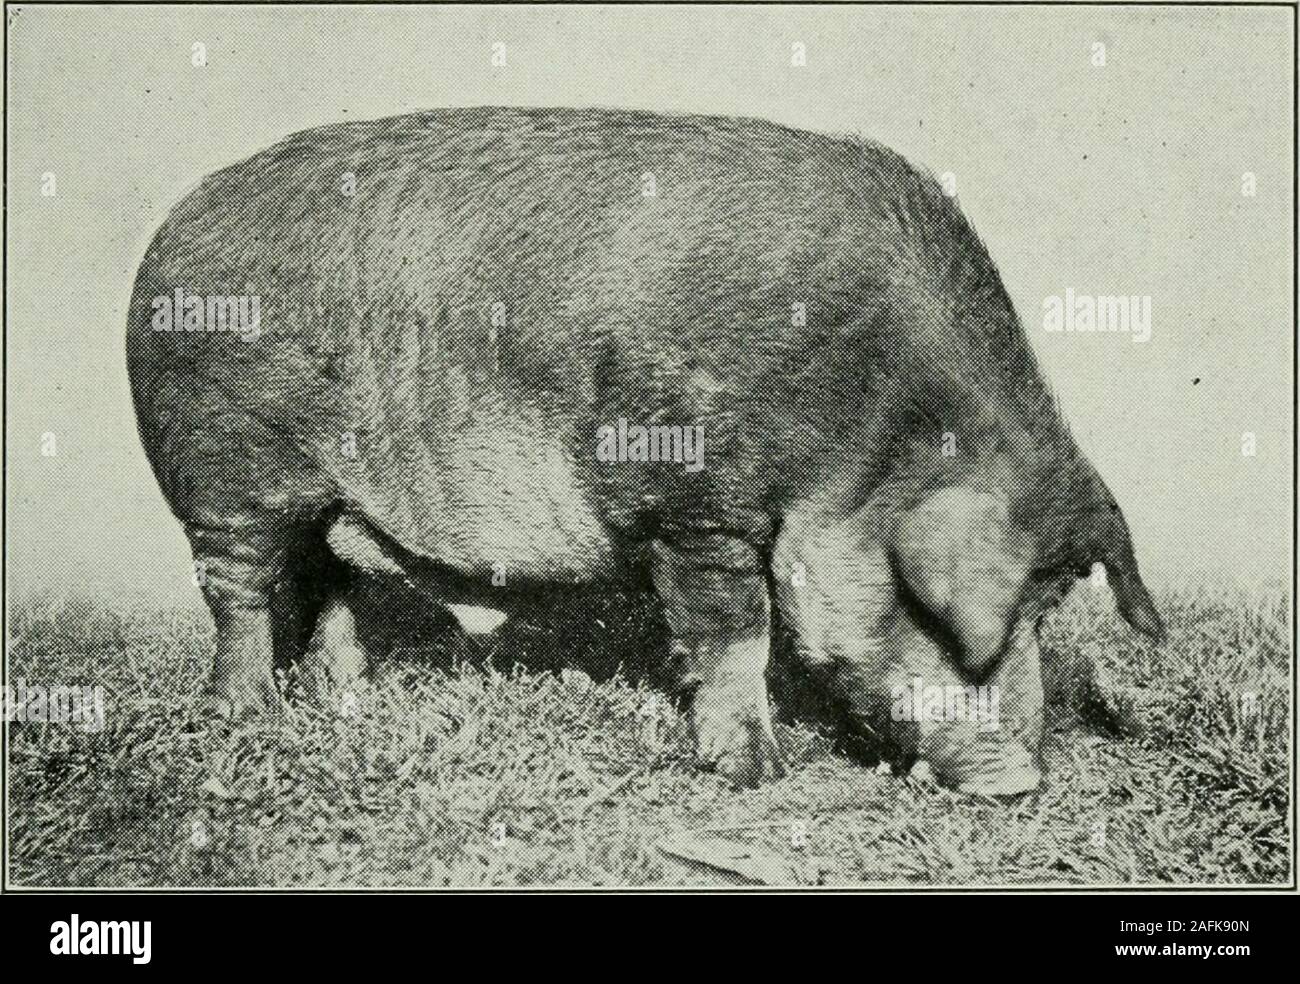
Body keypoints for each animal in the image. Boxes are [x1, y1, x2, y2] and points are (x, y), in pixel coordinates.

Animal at [124, 105, 1159, 790]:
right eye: (950, 614)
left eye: (1051, 608)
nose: (1018, 783)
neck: (864, 426)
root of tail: (171, 225)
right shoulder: (694, 500)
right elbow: (736, 629)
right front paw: (756, 770)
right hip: (222, 472)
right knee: (240, 591)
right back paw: (246, 711)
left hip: (330, 498)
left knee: (327, 582)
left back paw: (348, 700)